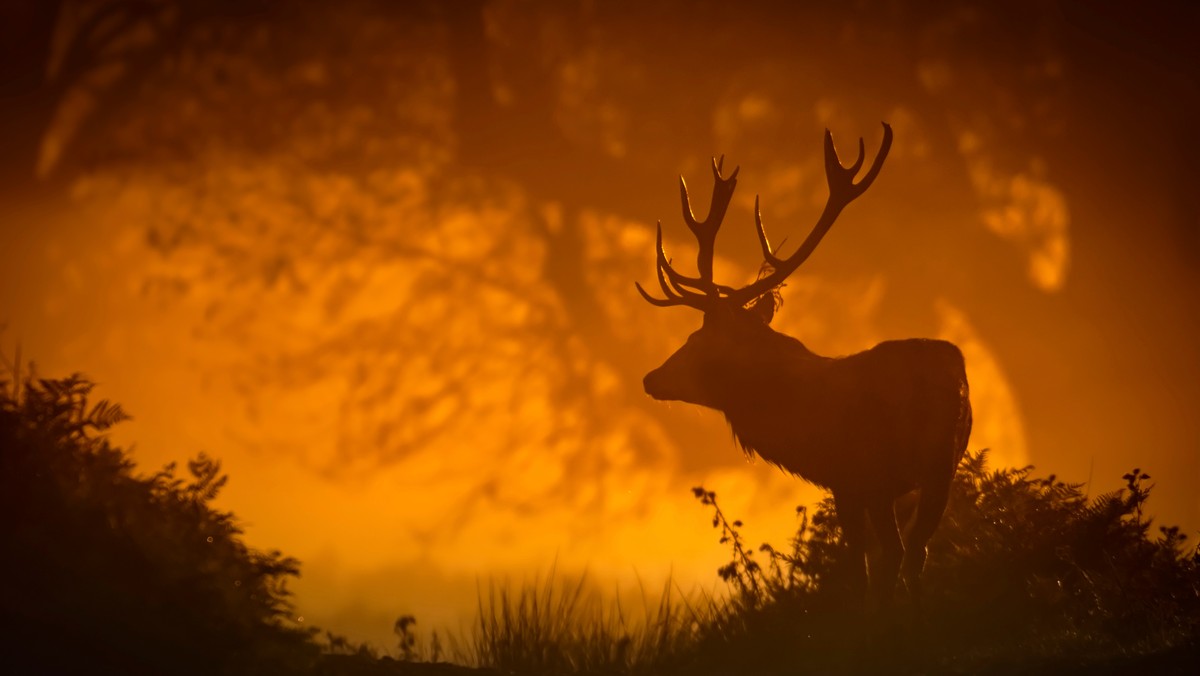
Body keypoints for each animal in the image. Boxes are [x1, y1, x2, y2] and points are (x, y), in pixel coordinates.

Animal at [643, 124, 969, 609]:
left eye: (696, 340)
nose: (650, 378)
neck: (800, 421)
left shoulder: (849, 477)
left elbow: (860, 560)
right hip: (941, 469)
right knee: (918, 550)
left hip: (896, 466)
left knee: (899, 551)